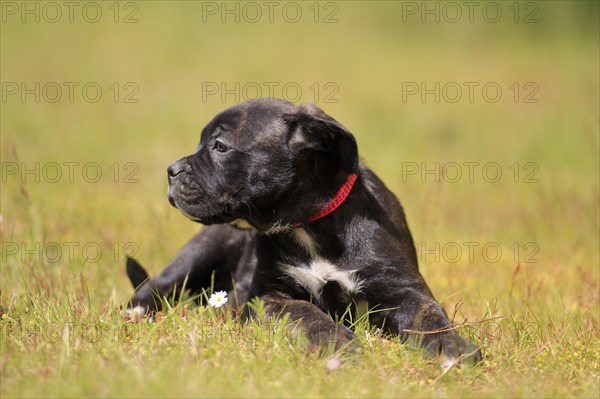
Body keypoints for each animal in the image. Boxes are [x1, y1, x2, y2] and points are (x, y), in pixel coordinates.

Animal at [126, 98, 482, 368]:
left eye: (220, 146)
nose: (171, 170)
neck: (309, 225)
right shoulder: (268, 296)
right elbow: (304, 312)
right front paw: (335, 338)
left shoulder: (404, 290)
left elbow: (429, 318)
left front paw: (451, 346)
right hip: (202, 249)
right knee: (157, 285)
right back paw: (138, 313)